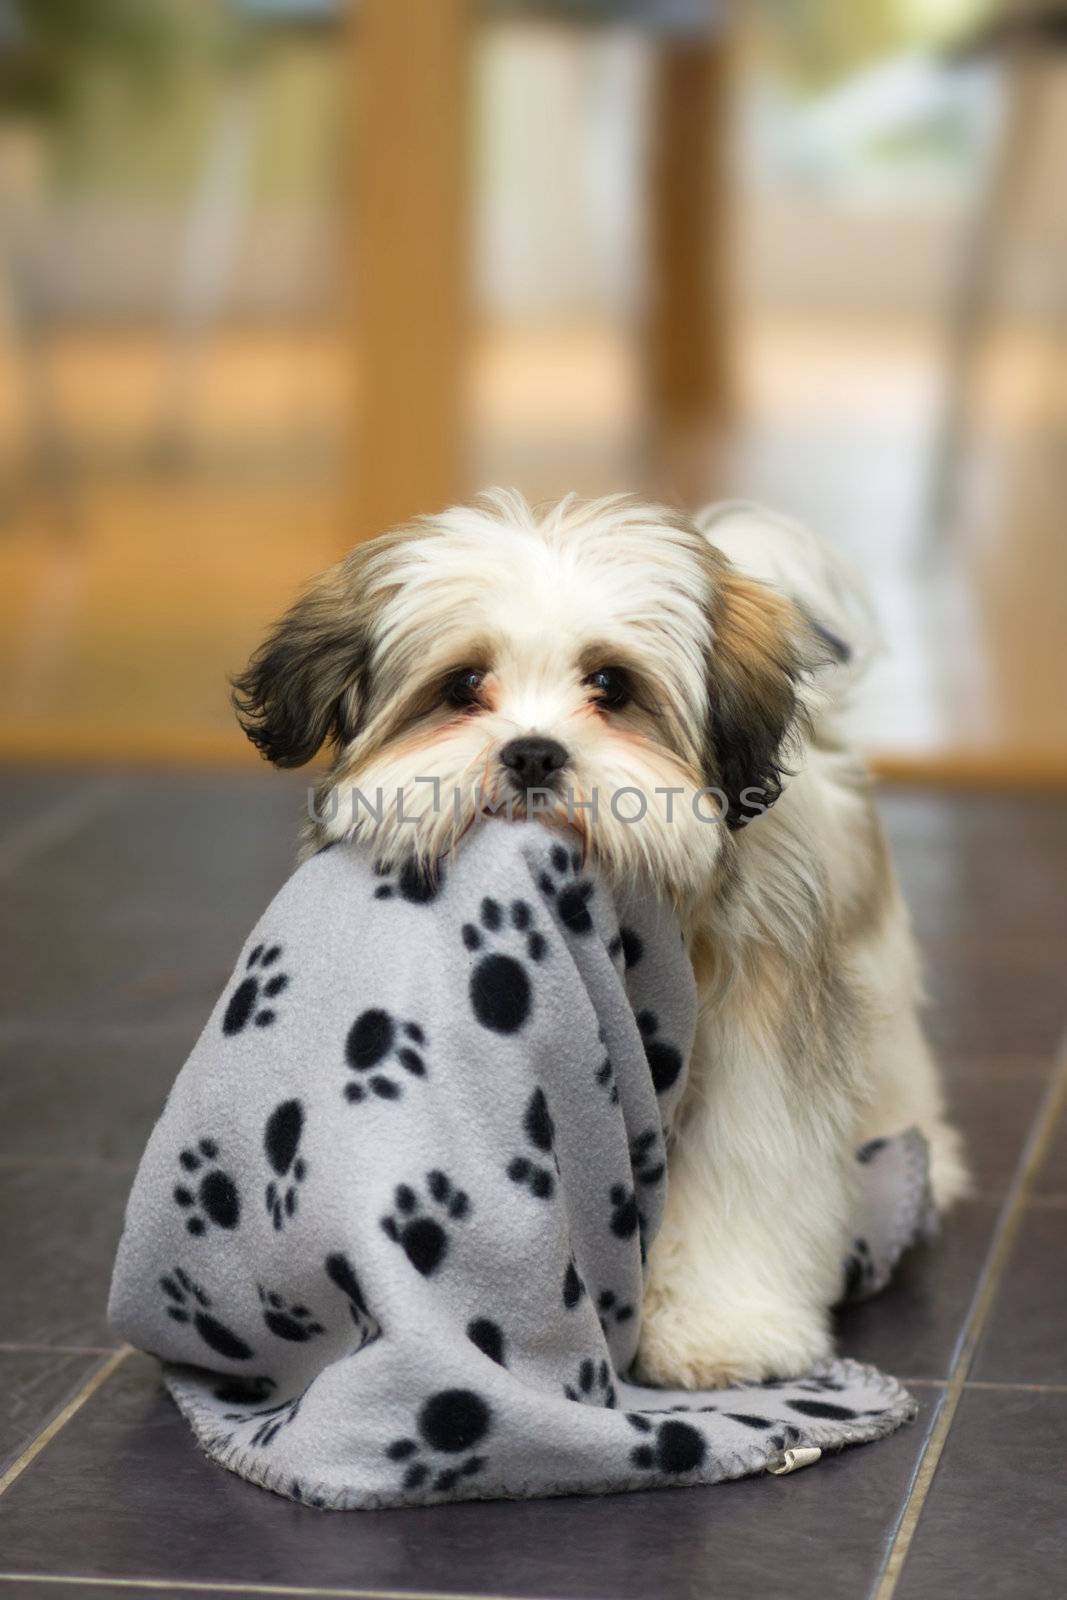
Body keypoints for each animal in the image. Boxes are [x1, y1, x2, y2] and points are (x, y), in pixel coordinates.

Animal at [235, 486, 966, 1388]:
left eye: (610, 685)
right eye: (463, 684)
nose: (532, 754)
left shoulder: (758, 1041)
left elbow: (745, 1178)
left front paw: (722, 1327)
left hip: (872, 958)